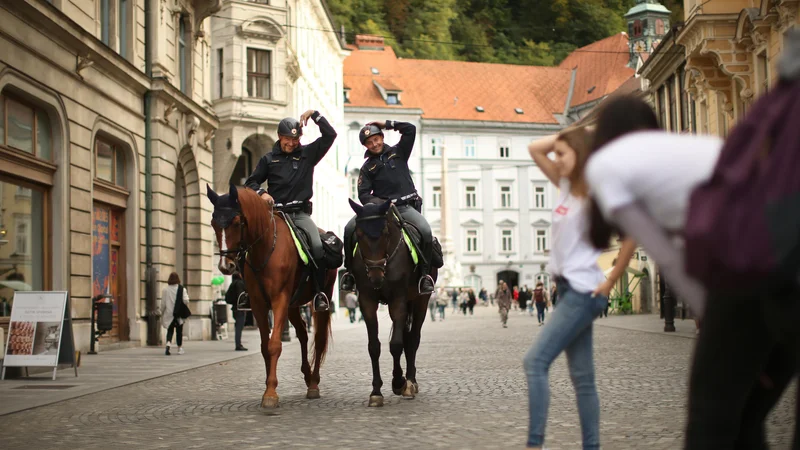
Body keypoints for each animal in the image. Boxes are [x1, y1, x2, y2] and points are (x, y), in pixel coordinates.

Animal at [206, 183, 334, 408]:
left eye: (237, 222)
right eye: (213, 223)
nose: (225, 265)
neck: (266, 248)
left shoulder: (279, 300)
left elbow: (274, 345)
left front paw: (271, 394)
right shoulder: (259, 305)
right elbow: (265, 346)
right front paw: (268, 387)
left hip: (322, 297)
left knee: (318, 340)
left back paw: (314, 383)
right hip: (293, 305)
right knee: (303, 334)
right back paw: (307, 375)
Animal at [348, 199, 438, 406]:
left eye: (385, 233)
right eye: (359, 234)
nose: (375, 276)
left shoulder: (399, 300)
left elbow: (396, 345)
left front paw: (399, 382)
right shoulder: (367, 302)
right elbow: (374, 347)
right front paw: (376, 392)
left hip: (420, 301)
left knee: (413, 339)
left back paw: (410, 382)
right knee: (406, 336)